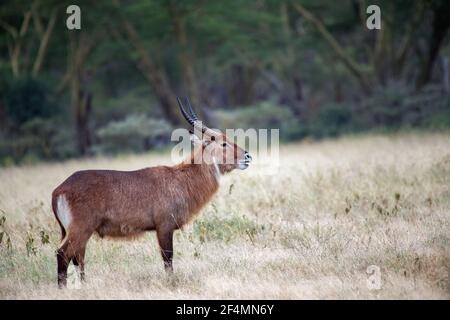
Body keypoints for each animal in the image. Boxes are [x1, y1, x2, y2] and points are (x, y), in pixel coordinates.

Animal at [51, 97, 253, 288]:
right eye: (223, 143)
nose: (248, 156)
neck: (181, 179)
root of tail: (59, 190)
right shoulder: (164, 227)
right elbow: (168, 259)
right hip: (81, 229)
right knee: (63, 254)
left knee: (78, 259)